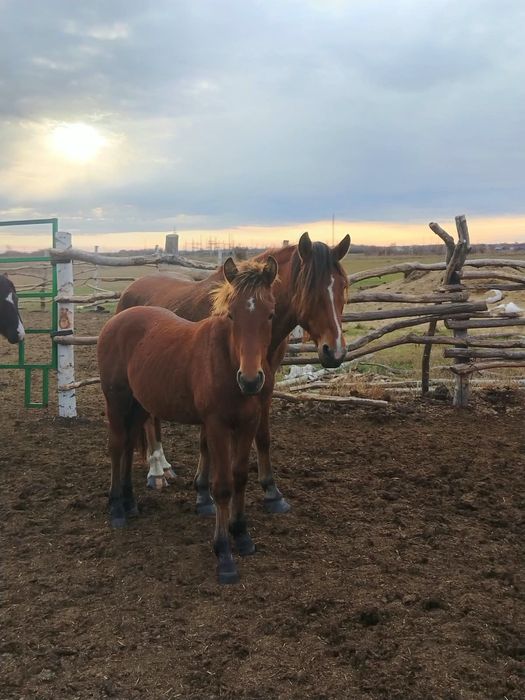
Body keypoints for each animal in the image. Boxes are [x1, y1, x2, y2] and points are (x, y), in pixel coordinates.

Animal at [98, 257, 278, 584]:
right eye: (231, 314)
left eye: (270, 314)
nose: (250, 380)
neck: (226, 361)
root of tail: (117, 319)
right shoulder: (217, 426)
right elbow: (222, 486)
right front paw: (224, 555)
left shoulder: (247, 424)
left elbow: (240, 478)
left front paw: (242, 535)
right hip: (116, 400)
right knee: (117, 447)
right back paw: (116, 508)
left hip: (139, 404)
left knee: (129, 445)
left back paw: (130, 503)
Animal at [117, 231, 350, 513]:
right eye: (310, 289)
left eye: (342, 287)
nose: (334, 352)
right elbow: (206, 441)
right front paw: (203, 492)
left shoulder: (265, 387)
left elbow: (263, 437)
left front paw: (272, 492)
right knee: (150, 420)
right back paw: (156, 472)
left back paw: (164, 465)